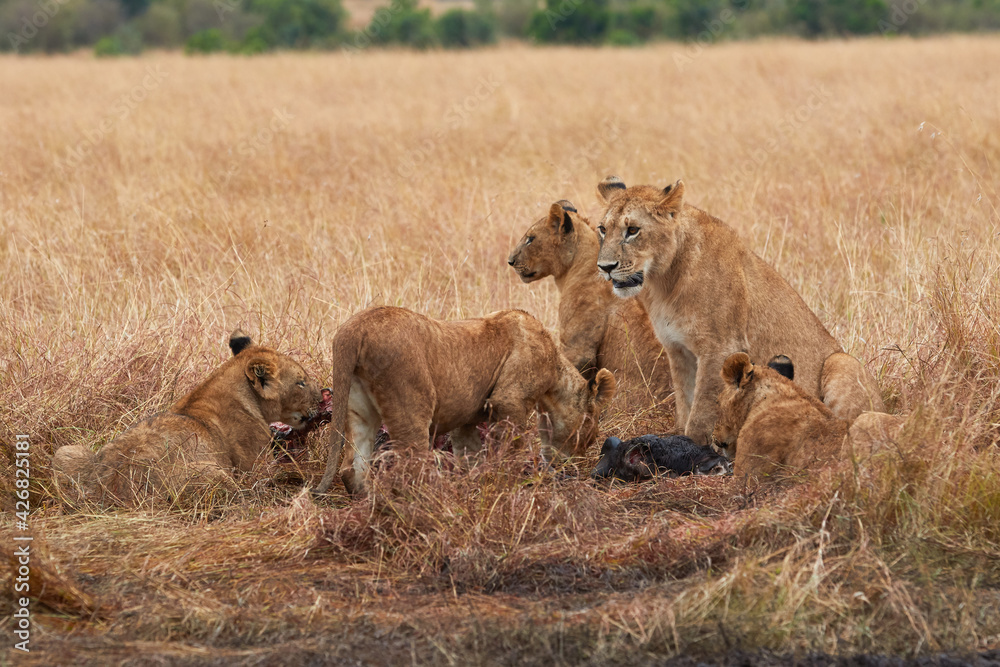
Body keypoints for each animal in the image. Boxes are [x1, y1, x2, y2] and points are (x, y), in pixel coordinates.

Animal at [52, 330, 321, 507]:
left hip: (67, 451)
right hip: (215, 474)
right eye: (301, 382)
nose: (321, 398)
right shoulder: (256, 466)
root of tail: (106, 495)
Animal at [313, 306, 616, 496]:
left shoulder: (467, 420)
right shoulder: (509, 401)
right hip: (411, 402)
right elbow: (511, 450)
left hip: (358, 409)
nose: (570, 467)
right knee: (410, 464)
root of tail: (354, 330)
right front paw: (514, 484)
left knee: (352, 467)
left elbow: (469, 455)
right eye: (591, 435)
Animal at [594, 176, 884, 445]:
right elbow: (685, 404)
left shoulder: (721, 347)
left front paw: (692, 449)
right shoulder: (678, 350)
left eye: (633, 230)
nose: (605, 267)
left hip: (841, 361)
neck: (663, 282)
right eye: (602, 229)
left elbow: (701, 412)